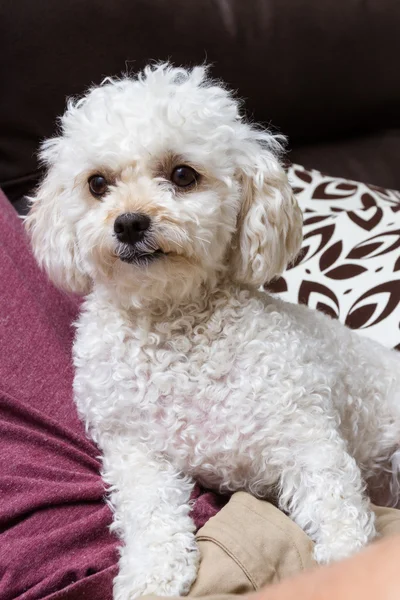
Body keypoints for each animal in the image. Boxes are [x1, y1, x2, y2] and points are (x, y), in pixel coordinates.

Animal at [26, 65, 398, 600]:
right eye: (97, 184)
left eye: (183, 175)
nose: (129, 223)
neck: (176, 324)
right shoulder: (134, 449)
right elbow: (150, 514)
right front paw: (151, 575)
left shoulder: (306, 435)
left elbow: (338, 510)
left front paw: (352, 570)